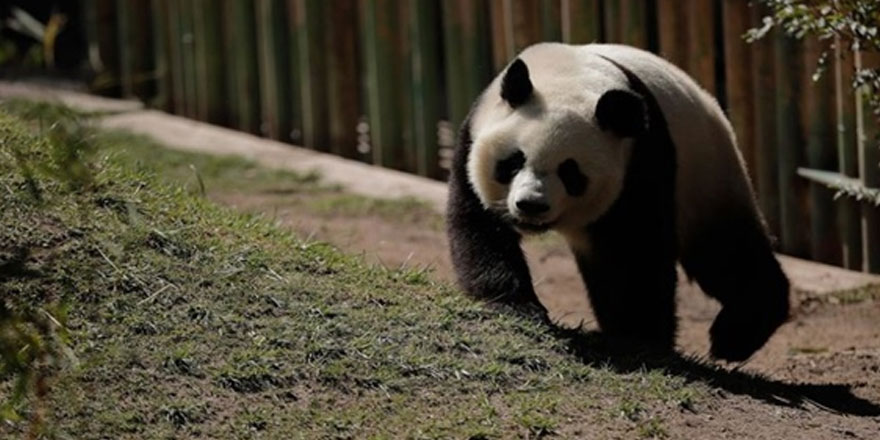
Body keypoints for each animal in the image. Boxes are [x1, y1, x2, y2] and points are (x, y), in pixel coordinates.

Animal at [446, 43, 790, 362]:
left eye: (570, 172)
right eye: (514, 161)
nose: (531, 205)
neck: (568, 74)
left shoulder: (641, 159)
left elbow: (636, 251)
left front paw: (641, 337)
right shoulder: (473, 138)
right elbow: (481, 228)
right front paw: (517, 306)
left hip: (706, 178)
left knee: (725, 253)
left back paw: (735, 336)